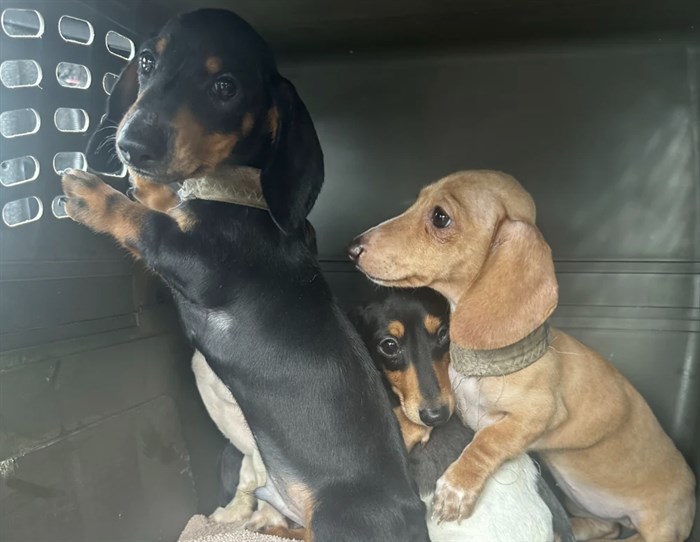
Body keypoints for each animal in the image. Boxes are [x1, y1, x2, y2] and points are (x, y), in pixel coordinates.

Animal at [60, 9, 430, 542]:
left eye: (225, 87)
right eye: (147, 60)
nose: (131, 147)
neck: (238, 191)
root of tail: (414, 515)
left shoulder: (200, 264)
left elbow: (146, 224)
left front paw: (93, 195)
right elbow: (165, 203)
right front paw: (147, 186)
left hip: (342, 519)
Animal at [348, 171, 696, 542]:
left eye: (440, 217)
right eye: (415, 201)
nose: (353, 248)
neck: (484, 361)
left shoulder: (539, 414)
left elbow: (490, 439)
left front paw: (457, 488)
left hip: (660, 526)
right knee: (609, 526)